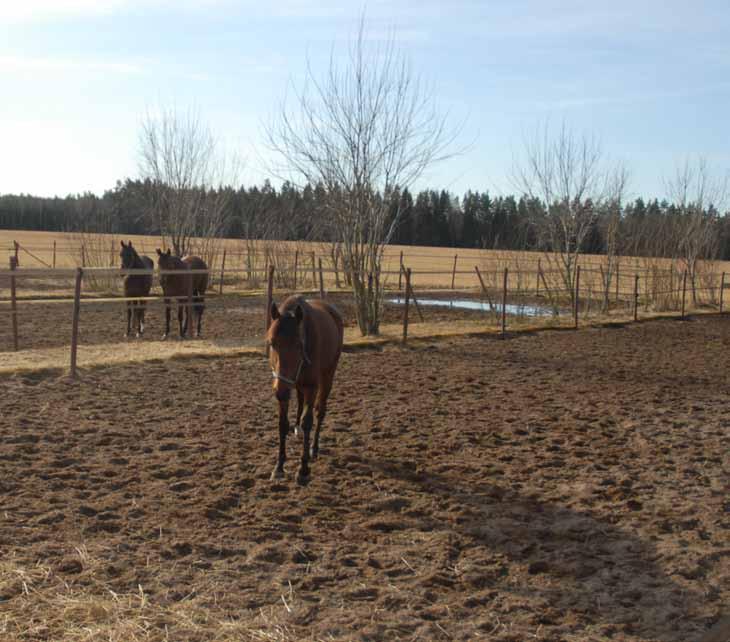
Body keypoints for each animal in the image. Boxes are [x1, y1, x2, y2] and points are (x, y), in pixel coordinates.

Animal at [268, 294, 344, 480]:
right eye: (272, 343)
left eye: (298, 344)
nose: (279, 392)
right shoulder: (286, 387)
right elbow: (282, 424)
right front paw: (279, 466)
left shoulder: (310, 387)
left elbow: (308, 421)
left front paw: (303, 469)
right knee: (300, 402)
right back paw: (297, 430)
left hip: (327, 376)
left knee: (320, 412)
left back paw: (313, 449)